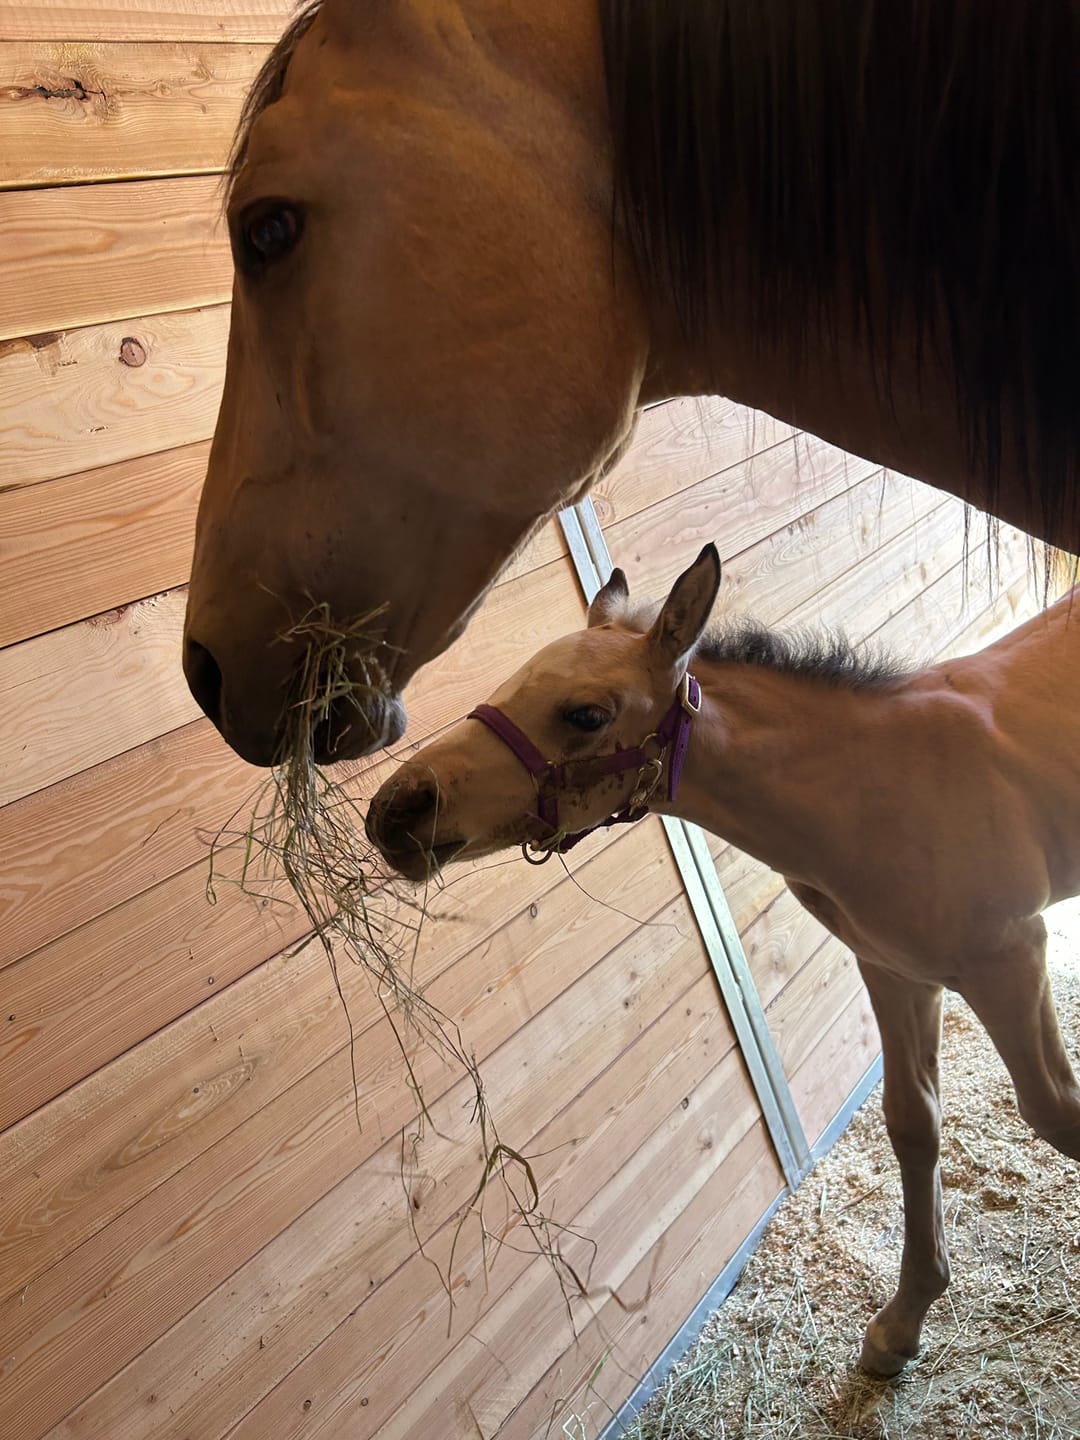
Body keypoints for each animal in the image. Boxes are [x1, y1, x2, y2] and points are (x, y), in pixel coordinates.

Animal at [364, 544, 1080, 1376]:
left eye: (586, 715)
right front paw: (900, 1325)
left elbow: (1057, 1113)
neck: (876, 785)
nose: (395, 809)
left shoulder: (1012, 959)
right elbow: (913, 1125)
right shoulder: (895, 971)